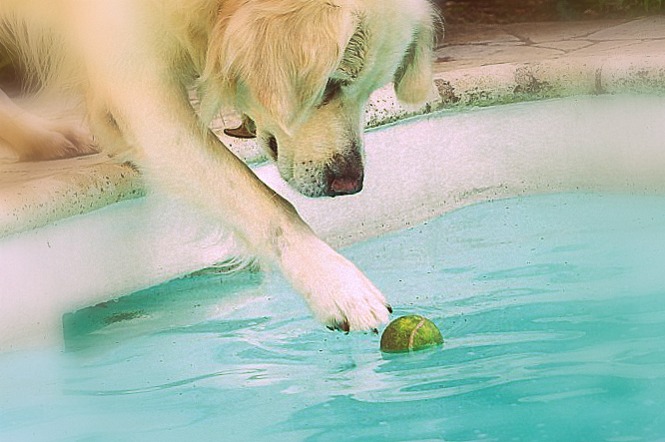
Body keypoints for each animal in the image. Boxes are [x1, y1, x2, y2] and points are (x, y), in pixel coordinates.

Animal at [2, 0, 438, 332]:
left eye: (370, 89)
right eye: (329, 85)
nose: (350, 183)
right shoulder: (145, 94)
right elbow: (267, 203)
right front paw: (339, 285)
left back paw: (44, 140)